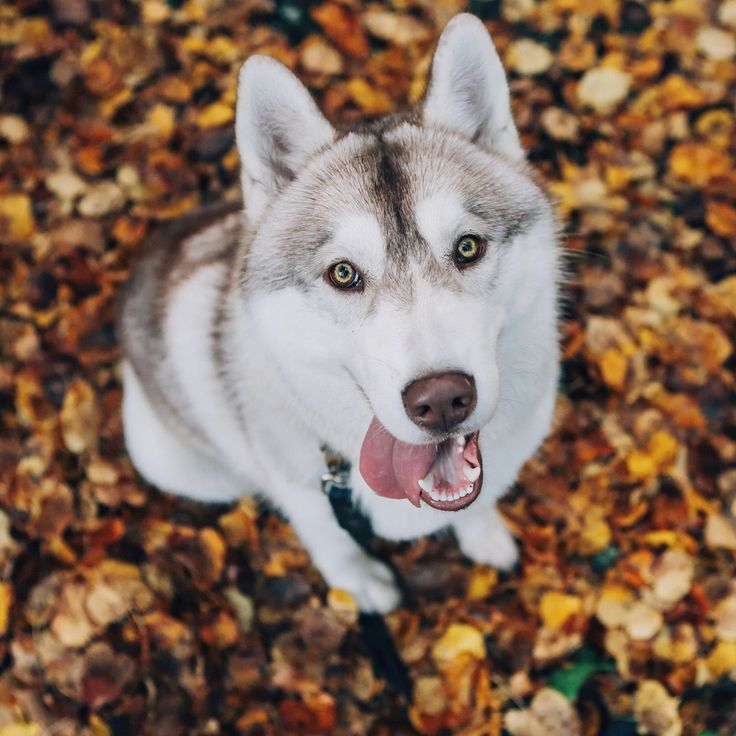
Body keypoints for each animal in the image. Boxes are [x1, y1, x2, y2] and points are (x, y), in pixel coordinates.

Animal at [119, 13, 560, 613]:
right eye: (344, 274)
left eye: (468, 247)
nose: (441, 399)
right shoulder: (303, 491)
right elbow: (331, 541)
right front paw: (361, 583)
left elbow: (480, 501)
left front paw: (484, 535)